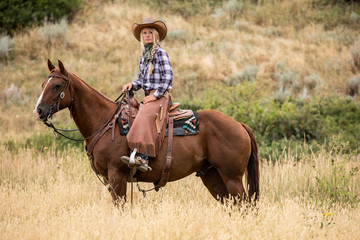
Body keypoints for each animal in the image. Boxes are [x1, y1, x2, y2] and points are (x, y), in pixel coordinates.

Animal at [33, 59, 258, 204]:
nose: (39, 111)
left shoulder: (117, 175)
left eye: (57, 85)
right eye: (43, 84)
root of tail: (240, 125)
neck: (104, 122)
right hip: (212, 177)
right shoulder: (108, 179)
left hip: (232, 177)